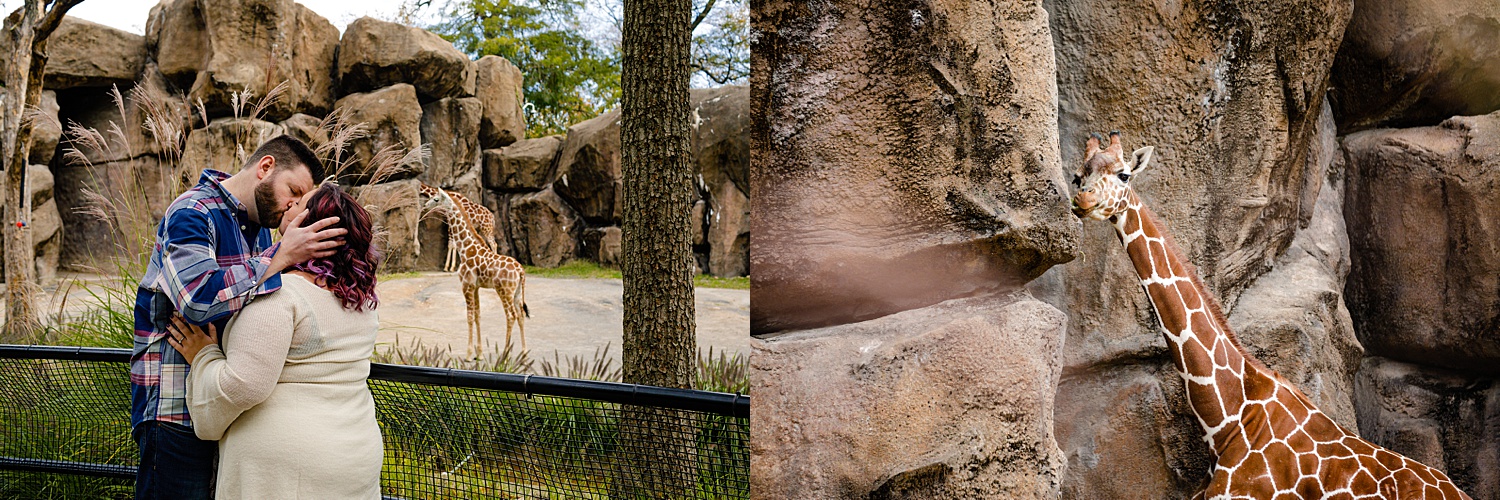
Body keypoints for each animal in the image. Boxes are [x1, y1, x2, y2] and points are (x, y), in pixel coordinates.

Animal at [426, 189, 531, 355]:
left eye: (436, 199)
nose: (425, 205)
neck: (466, 249)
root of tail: (521, 271)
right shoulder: (475, 286)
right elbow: (477, 316)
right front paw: (479, 353)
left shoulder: (466, 285)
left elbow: (469, 317)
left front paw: (469, 354)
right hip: (517, 292)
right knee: (520, 315)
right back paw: (524, 352)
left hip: (504, 291)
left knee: (511, 316)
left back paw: (505, 353)